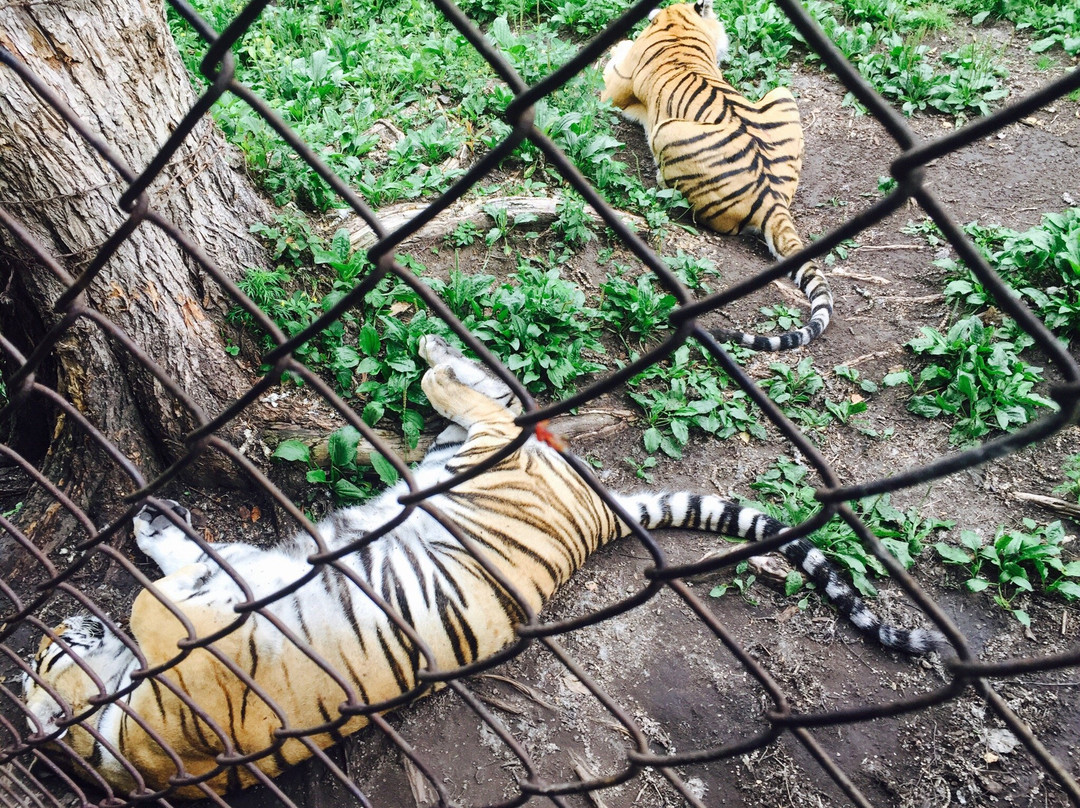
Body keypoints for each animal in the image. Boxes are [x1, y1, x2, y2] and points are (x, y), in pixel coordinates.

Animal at [21, 332, 941, 795]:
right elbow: (177, 585)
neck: (114, 739)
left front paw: (153, 531)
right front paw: (159, 535)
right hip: (473, 452)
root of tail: (597, 513)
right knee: (496, 399)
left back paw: (428, 341)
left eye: (39, 654)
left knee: (488, 395)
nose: (57, 622)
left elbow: (155, 596)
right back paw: (433, 345)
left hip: (472, 453)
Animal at [604, 0, 829, 349]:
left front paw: (617, 44)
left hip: (666, 132)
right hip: (782, 94)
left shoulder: (612, 89)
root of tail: (773, 200)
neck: (678, 25)